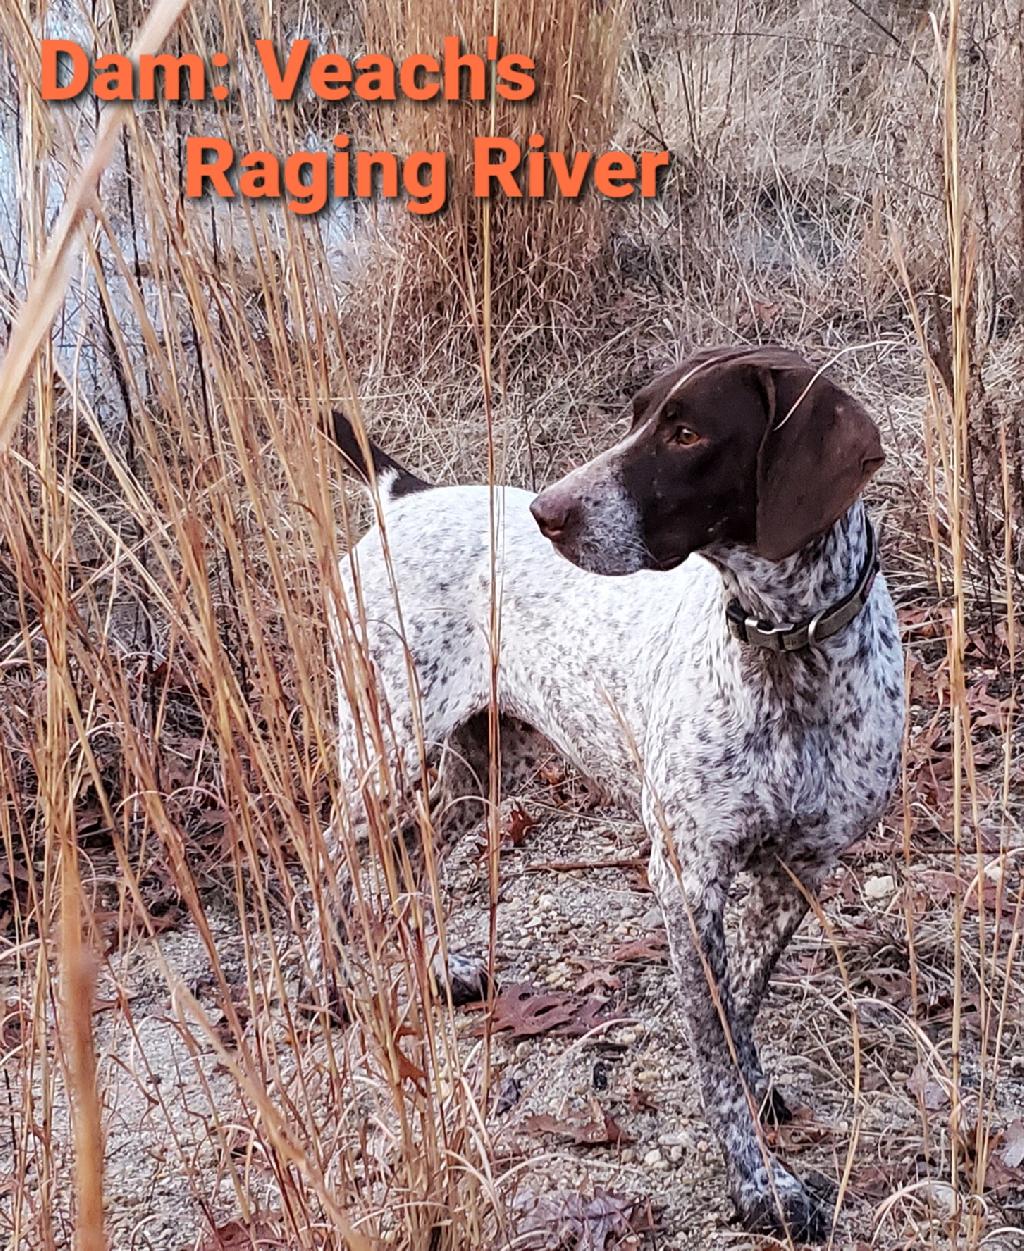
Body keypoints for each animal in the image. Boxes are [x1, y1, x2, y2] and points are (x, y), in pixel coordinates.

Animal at [320, 345, 905, 1240]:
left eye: (687, 432)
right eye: (636, 415)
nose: (546, 512)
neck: (789, 651)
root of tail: (404, 494)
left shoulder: (800, 869)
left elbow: (741, 1001)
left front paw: (757, 1083)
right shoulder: (688, 878)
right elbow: (713, 1046)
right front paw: (758, 1184)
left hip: (476, 769)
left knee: (414, 856)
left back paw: (442, 969)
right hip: (383, 752)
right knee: (328, 859)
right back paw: (326, 988)